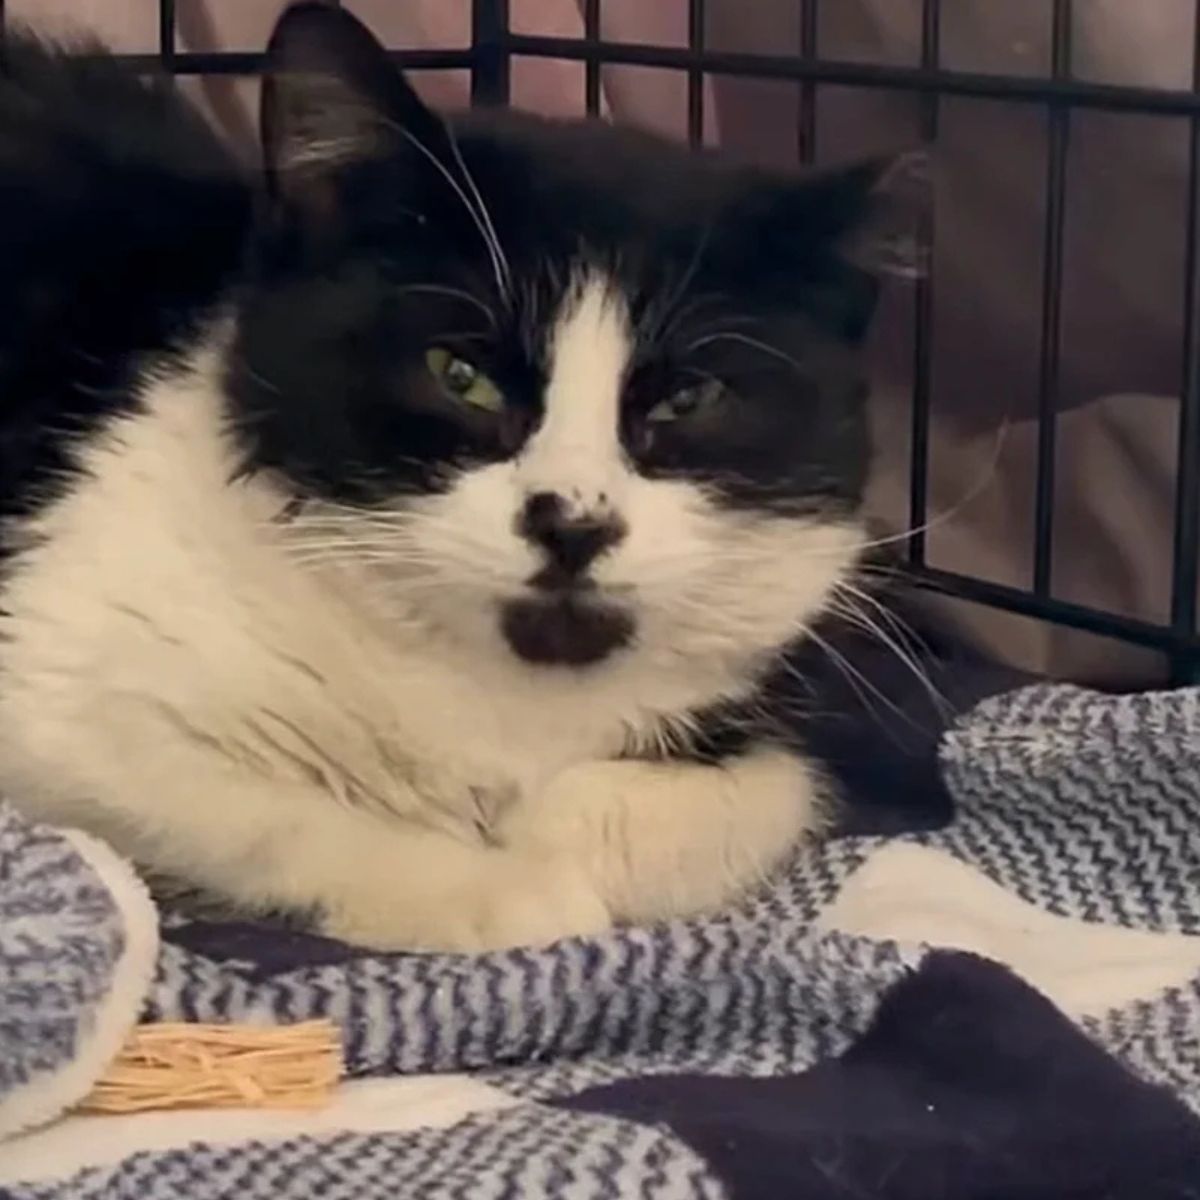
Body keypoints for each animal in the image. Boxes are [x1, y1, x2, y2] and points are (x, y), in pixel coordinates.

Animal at [0, 4, 902, 950]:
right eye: (458, 375)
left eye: (689, 398)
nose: (572, 522)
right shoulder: (59, 670)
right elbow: (252, 806)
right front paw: (496, 888)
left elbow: (768, 791)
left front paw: (557, 832)